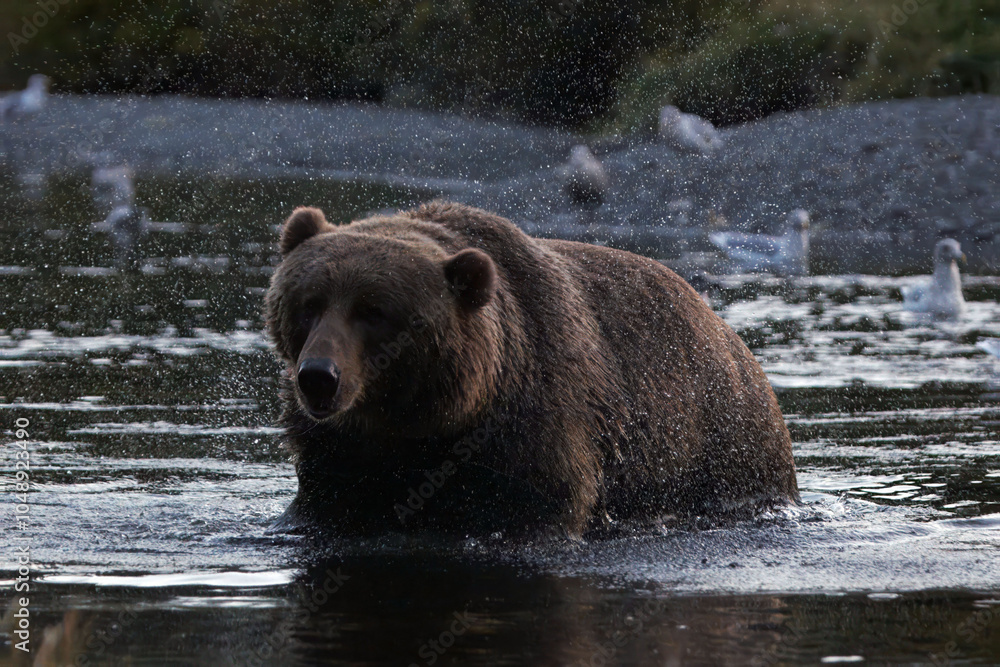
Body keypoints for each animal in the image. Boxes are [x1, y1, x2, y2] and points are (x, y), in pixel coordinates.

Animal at [264, 201, 796, 540]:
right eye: (308, 303)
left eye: (373, 312)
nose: (318, 376)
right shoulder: (338, 452)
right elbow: (322, 505)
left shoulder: (538, 419)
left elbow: (544, 506)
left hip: (721, 443)